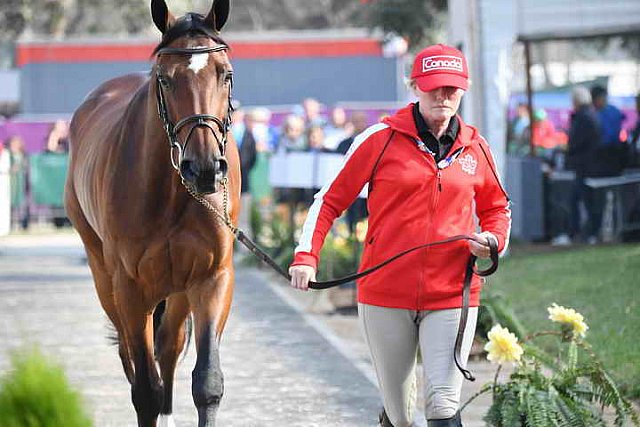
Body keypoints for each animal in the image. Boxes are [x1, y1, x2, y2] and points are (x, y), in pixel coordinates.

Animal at [63, 1, 239, 426]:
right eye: (165, 79)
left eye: (225, 74)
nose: (204, 168)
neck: (173, 193)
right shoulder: (130, 287)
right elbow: (144, 388)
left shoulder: (212, 277)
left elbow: (207, 382)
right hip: (105, 277)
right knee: (132, 356)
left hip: (177, 289)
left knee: (169, 347)